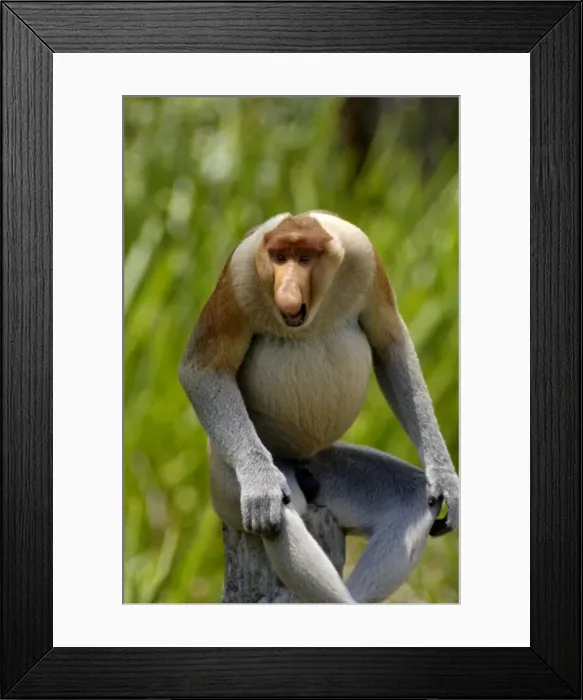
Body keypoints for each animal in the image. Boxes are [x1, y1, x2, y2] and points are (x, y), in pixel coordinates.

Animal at [179, 211, 460, 604]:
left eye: (304, 258)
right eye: (280, 257)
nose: (286, 290)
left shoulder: (366, 258)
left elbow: (391, 344)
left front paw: (445, 480)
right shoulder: (239, 276)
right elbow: (202, 369)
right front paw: (261, 485)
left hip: (328, 465)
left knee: (411, 498)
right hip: (223, 478)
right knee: (281, 515)